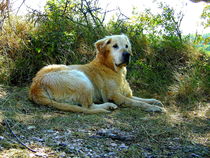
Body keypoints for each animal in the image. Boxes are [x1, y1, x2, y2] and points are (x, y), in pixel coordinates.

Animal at [29, 34, 166, 113]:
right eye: (115, 46)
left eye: (127, 46)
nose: (127, 54)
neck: (113, 69)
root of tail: (35, 87)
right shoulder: (115, 95)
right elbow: (138, 102)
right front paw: (155, 108)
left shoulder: (128, 94)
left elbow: (143, 99)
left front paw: (155, 102)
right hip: (81, 78)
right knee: (88, 106)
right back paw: (108, 106)